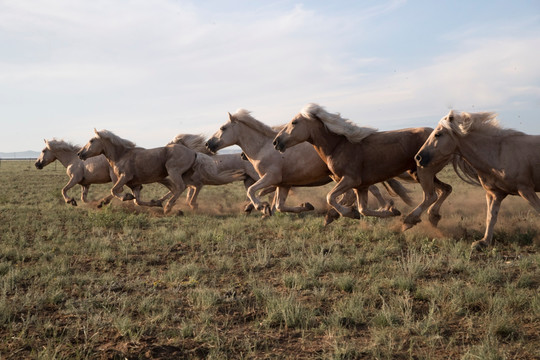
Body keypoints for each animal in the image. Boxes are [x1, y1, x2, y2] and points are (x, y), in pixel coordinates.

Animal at [77, 129, 243, 214]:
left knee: (180, 187)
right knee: (193, 186)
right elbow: (137, 200)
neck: (121, 155)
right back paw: (190, 204)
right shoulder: (135, 184)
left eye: (91, 141)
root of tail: (193, 152)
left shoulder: (125, 177)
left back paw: (169, 206)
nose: (80, 153)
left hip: (173, 172)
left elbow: (114, 190)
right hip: (183, 175)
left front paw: (125, 198)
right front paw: (153, 202)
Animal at [207, 108, 414, 219]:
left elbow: (252, 191)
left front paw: (260, 207)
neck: (263, 148)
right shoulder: (283, 183)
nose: (209, 144)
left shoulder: (271, 178)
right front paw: (304, 206)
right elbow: (279, 205)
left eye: (223, 128)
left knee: (369, 191)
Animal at [272, 102, 454, 224]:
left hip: (424, 172)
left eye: (294, 122)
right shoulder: (361, 186)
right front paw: (390, 211)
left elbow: (331, 197)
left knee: (431, 195)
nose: (276, 142)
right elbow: (363, 209)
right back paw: (433, 215)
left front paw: (348, 213)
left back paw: (412, 219)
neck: (338, 146)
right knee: (446, 189)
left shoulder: (350, 180)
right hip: (419, 173)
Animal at [412, 111, 536, 249]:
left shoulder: (526, 190)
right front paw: (483, 242)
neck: (499, 153)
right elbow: (491, 216)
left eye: (438, 134)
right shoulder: (494, 194)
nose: (418, 157)